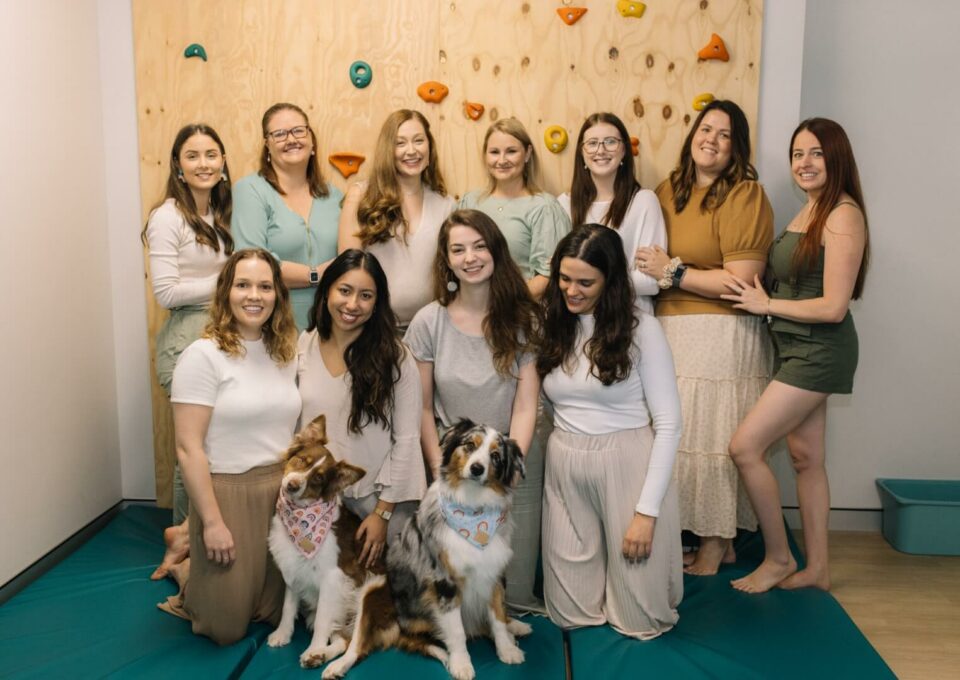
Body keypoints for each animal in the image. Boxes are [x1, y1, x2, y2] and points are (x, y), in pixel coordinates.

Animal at [266, 414, 382, 668]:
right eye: (301, 460)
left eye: (318, 478)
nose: (292, 485)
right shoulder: (293, 567)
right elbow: (288, 606)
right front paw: (283, 634)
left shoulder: (333, 578)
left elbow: (321, 619)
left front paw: (313, 647)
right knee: (343, 640)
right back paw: (320, 657)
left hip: (367, 592)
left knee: (356, 645)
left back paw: (326, 660)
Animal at [322, 420, 532, 680]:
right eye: (469, 445)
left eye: (495, 456)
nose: (476, 469)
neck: (472, 506)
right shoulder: (445, 582)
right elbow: (457, 631)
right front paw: (461, 664)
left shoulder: (493, 573)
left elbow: (498, 617)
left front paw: (506, 650)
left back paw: (517, 627)